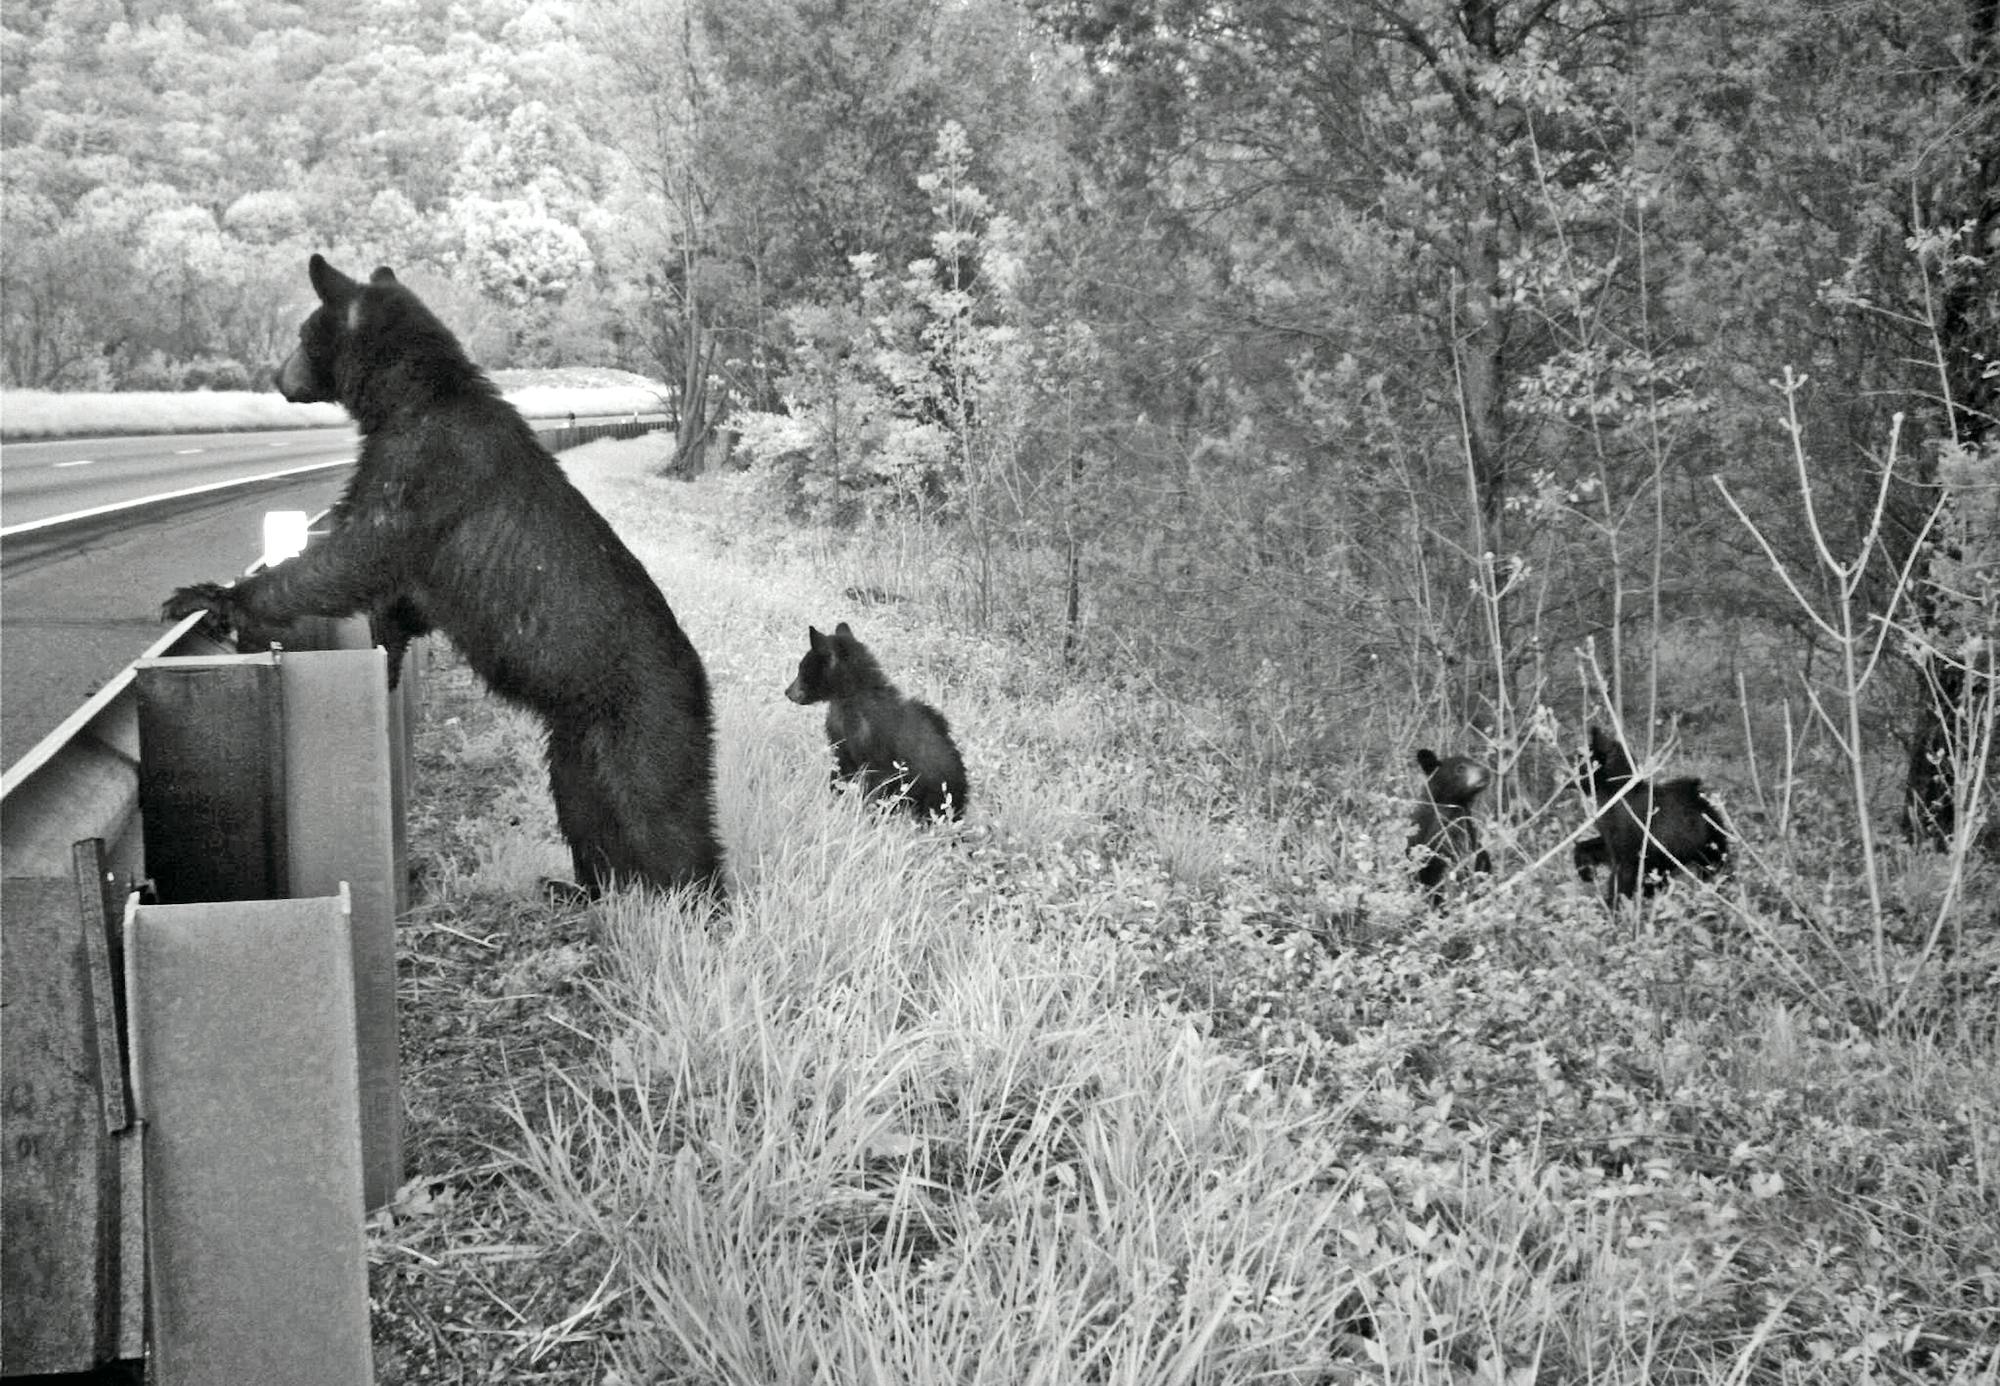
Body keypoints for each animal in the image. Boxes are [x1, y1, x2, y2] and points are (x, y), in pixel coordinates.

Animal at [163, 254, 722, 898]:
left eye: (302, 335)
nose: (278, 377)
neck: (412, 397)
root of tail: (700, 679)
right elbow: (401, 600)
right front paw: (386, 653)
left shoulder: (421, 467)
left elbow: (354, 554)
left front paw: (212, 597)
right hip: (576, 736)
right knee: (583, 804)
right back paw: (584, 888)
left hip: (645, 718)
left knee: (660, 812)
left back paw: (698, 900)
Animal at [783, 622, 968, 820]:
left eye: (802, 668)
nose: (787, 692)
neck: (848, 701)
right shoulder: (841, 743)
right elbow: (839, 775)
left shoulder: (878, 754)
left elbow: (876, 789)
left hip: (935, 793)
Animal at [1578, 725, 1729, 901]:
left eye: (1579, 760)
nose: (1562, 775)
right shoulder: (1612, 843)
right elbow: (1584, 846)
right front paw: (1585, 872)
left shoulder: (1629, 852)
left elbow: (1620, 883)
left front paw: (1613, 904)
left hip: (1704, 852)